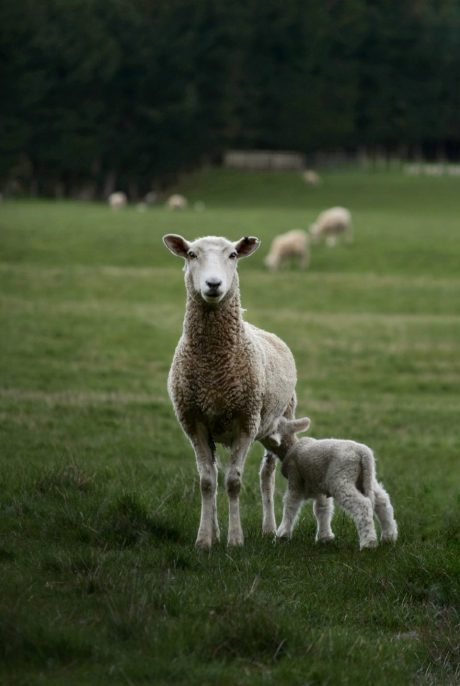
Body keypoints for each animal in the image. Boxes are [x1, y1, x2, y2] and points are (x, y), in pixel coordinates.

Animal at [164, 234, 296, 552]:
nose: (213, 284)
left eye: (233, 255)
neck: (214, 366)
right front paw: (205, 539)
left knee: (267, 477)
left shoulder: (245, 422)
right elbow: (207, 481)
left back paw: (270, 529)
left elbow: (234, 482)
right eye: (191, 254)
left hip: (279, 422)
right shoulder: (194, 422)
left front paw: (236, 540)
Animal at [264, 416, 398, 552]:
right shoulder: (319, 486)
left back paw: (368, 544)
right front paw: (325, 537)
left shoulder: (295, 480)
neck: (290, 447)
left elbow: (291, 505)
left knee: (363, 505)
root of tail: (363, 454)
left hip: (341, 478)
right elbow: (322, 509)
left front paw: (281, 535)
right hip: (366, 478)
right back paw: (388, 537)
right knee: (382, 501)